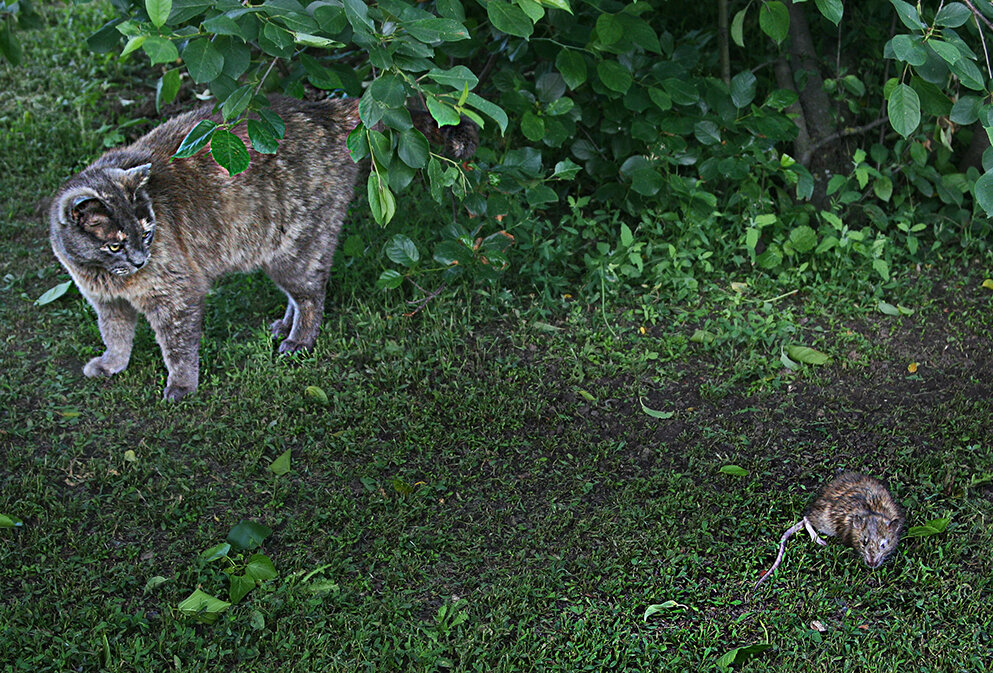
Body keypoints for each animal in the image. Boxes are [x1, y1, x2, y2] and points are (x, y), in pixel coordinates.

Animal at [49, 94, 476, 400]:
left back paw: (298, 341)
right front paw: (111, 365)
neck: (104, 277)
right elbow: (116, 337)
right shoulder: (108, 305)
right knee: (300, 294)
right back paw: (283, 325)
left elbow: (178, 348)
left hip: (296, 247)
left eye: (147, 232)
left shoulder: (177, 297)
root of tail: (329, 108)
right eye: (116, 245)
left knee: (312, 296)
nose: (140, 260)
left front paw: (182, 386)